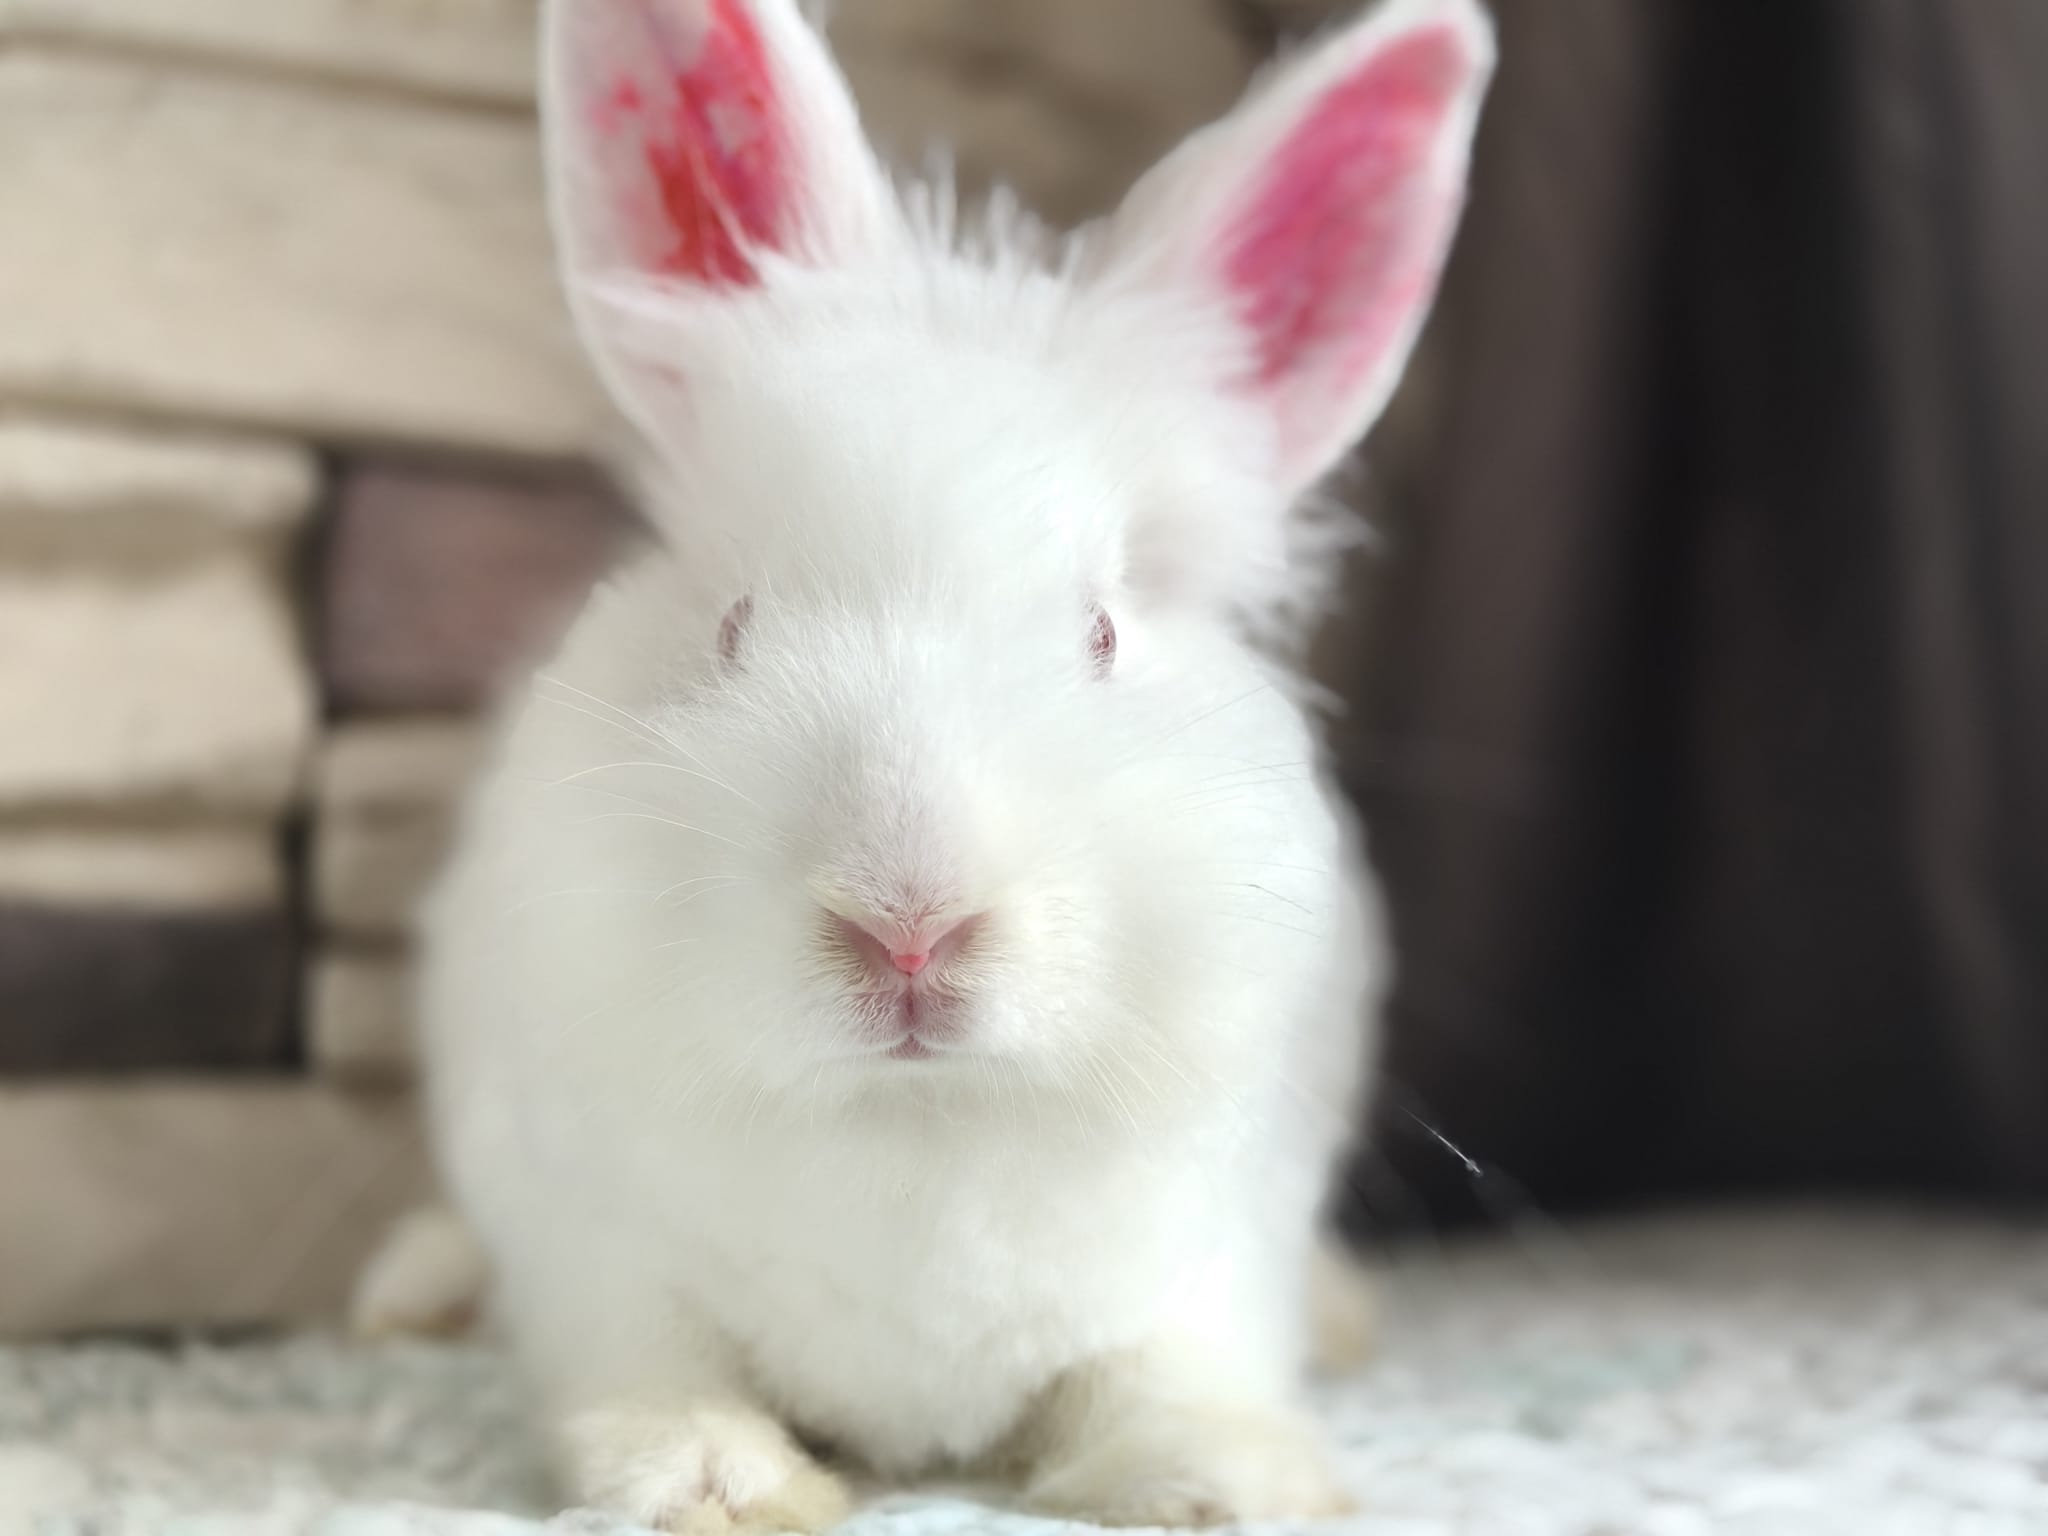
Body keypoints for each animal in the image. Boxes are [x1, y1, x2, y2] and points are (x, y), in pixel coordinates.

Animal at [417, 0, 1493, 1529]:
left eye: (1103, 631)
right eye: (735, 625)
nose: (908, 926)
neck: (913, 1121)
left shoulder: (1214, 1249)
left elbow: (1170, 1370)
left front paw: (1222, 1479)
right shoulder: (592, 1251)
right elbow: (649, 1365)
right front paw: (711, 1480)